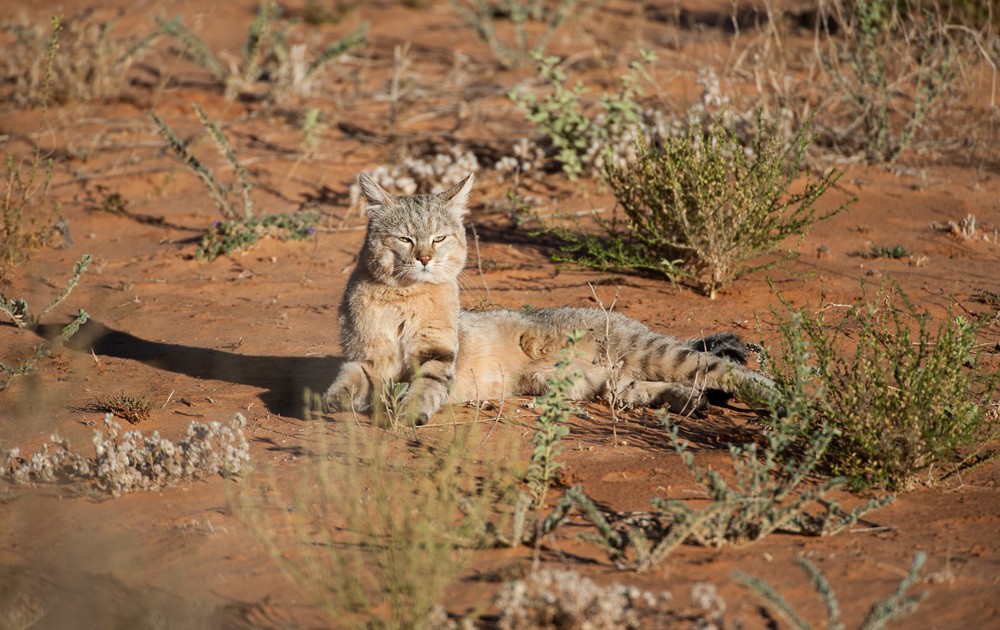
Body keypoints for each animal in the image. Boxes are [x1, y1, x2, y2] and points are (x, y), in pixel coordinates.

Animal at [322, 173, 775, 425]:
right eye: (404, 239)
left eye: (438, 238)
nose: (425, 258)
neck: (404, 298)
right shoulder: (366, 358)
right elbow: (347, 379)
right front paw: (334, 400)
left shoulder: (436, 355)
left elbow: (424, 385)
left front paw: (408, 410)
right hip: (583, 381)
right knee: (638, 387)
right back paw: (688, 401)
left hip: (651, 352)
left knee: (725, 370)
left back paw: (781, 395)